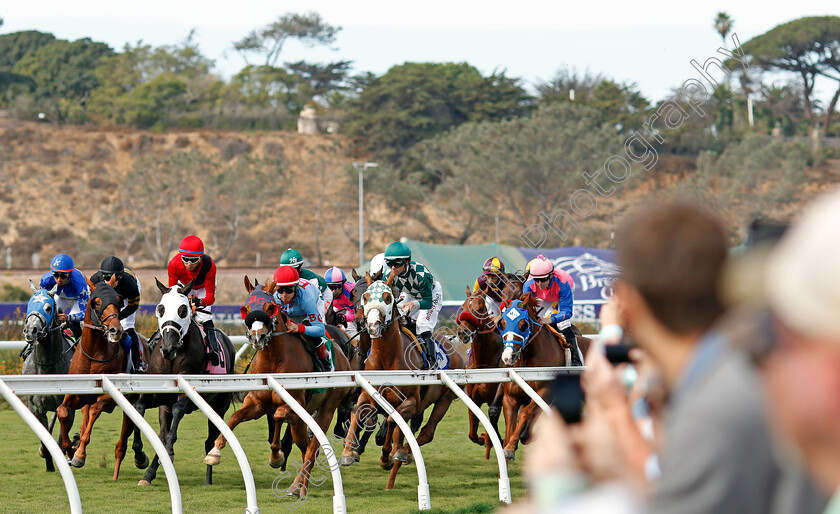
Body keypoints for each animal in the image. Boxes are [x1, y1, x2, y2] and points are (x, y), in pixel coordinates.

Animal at [21, 282, 76, 470]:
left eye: (48, 307)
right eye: (29, 304)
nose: (30, 330)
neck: (46, 365)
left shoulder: (69, 408)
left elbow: (60, 440)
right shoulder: (36, 408)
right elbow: (46, 440)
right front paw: (49, 463)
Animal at [205, 276, 352, 496]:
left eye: (270, 307)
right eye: (246, 308)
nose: (257, 336)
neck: (273, 360)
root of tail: (343, 355)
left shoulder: (292, 405)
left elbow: (278, 416)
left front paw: (276, 456)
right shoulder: (257, 403)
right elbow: (234, 417)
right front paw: (214, 452)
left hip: (327, 408)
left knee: (311, 447)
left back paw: (298, 486)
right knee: (305, 446)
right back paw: (300, 481)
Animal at [338, 270, 466, 486]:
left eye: (388, 298)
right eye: (360, 295)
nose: (370, 324)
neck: (386, 358)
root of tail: (455, 351)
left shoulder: (411, 401)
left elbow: (391, 421)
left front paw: (387, 456)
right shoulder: (366, 395)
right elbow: (358, 413)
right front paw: (349, 453)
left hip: (445, 399)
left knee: (426, 431)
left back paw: (403, 453)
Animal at [456, 288, 502, 456]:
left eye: (480, 308)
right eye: (462, 307)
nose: (462, 333)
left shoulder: (494, 397)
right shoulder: (473, 397)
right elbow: (472, 433)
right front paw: (483, 439)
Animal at [498, 292, 564, 460]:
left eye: (523, 325)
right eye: (502, 324)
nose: (508, 357)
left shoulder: (544, 391)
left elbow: (525, 413)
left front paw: (510, 447)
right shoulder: (510, 397)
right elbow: (510, 422)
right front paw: (508, 447)